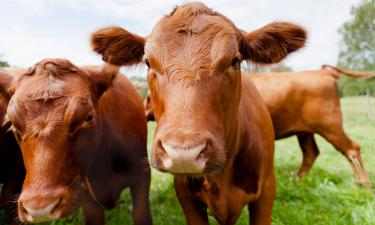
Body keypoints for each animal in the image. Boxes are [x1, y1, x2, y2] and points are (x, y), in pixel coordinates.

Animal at [0, 59, 153, 224]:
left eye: (88, 117)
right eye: (12, 123)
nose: (40, 209)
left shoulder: (142, 175)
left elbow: (140, 214)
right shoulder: (83, 191)